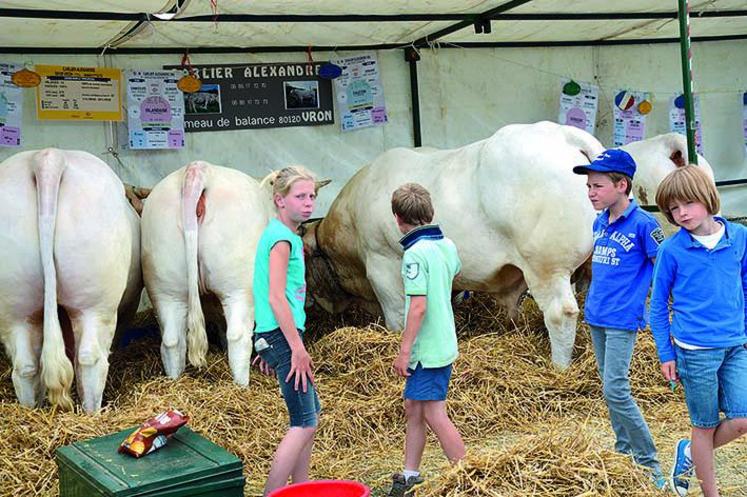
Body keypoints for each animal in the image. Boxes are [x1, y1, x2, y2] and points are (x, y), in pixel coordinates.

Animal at [0, 147, 142, 410]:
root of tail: (48, 156)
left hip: (14, 306)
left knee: (26, 366)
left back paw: (33, 408)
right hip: (96, 302)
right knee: (89, 358)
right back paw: (92, 410)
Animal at [140, 162, 272, 384]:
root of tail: (198, 169)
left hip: (164, 286)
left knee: (172, 341)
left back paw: (175, 380)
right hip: (239, 286)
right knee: (238, 337)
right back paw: (241, 385)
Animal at [300, 122, 604, 366]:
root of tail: (563, 134)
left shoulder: (382, 265)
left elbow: (397, 318)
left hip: (546, 267)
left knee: (560, 313)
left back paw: (559, 367)